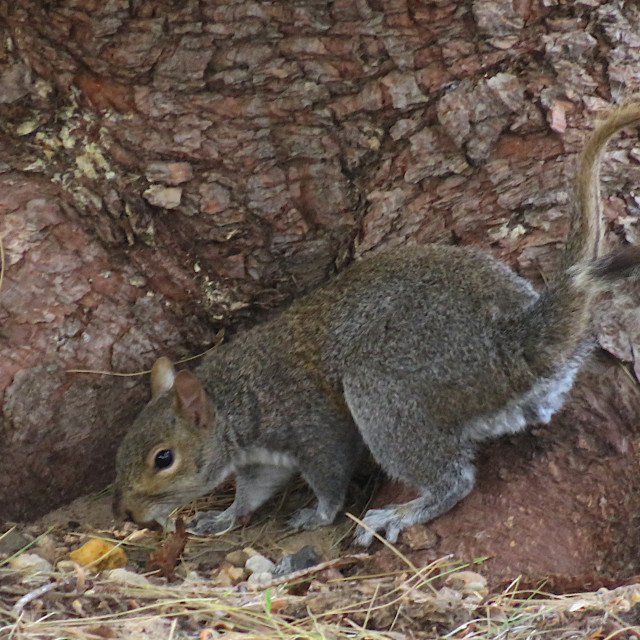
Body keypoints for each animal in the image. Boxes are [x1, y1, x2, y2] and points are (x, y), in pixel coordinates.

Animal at [112, 105, 640, 544]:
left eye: (163, 458)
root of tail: (510, 341)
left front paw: (318, 514)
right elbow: (254, 490)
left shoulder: (311, 425)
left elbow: (328, 475)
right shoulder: (261, 459)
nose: (127, 514)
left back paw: (400, 514)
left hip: (385, 394)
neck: (237, 396)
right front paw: (223, 516)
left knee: (454, 479)